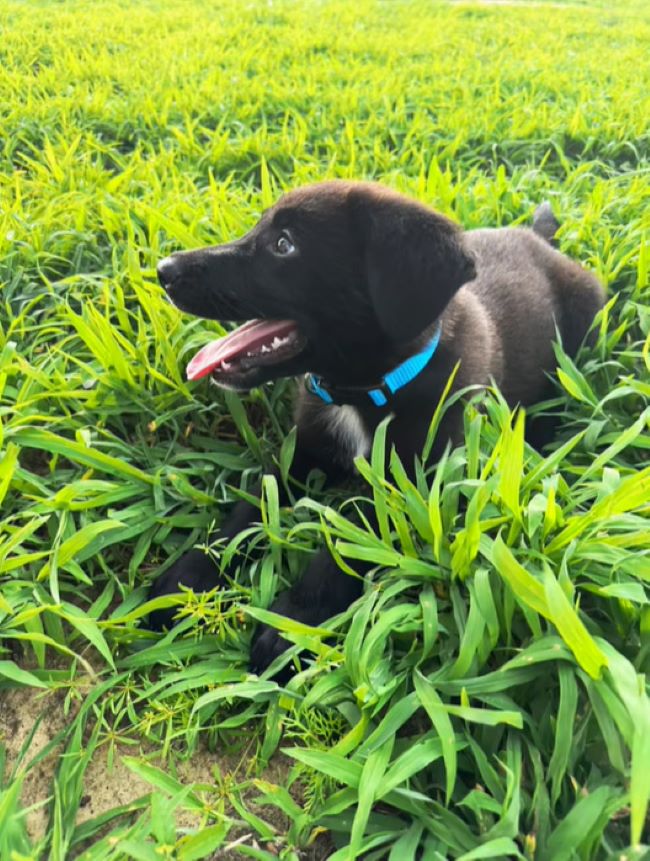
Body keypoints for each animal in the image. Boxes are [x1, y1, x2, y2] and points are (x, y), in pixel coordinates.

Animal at [151, 181, 604, 672]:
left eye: (283, 245)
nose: (163, 270)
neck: (361, 392)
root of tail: (539, 239)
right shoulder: (301, 450)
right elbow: (251, 506)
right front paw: (188, 576)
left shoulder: (413, 481)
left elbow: (347, 535)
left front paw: (292, 622)